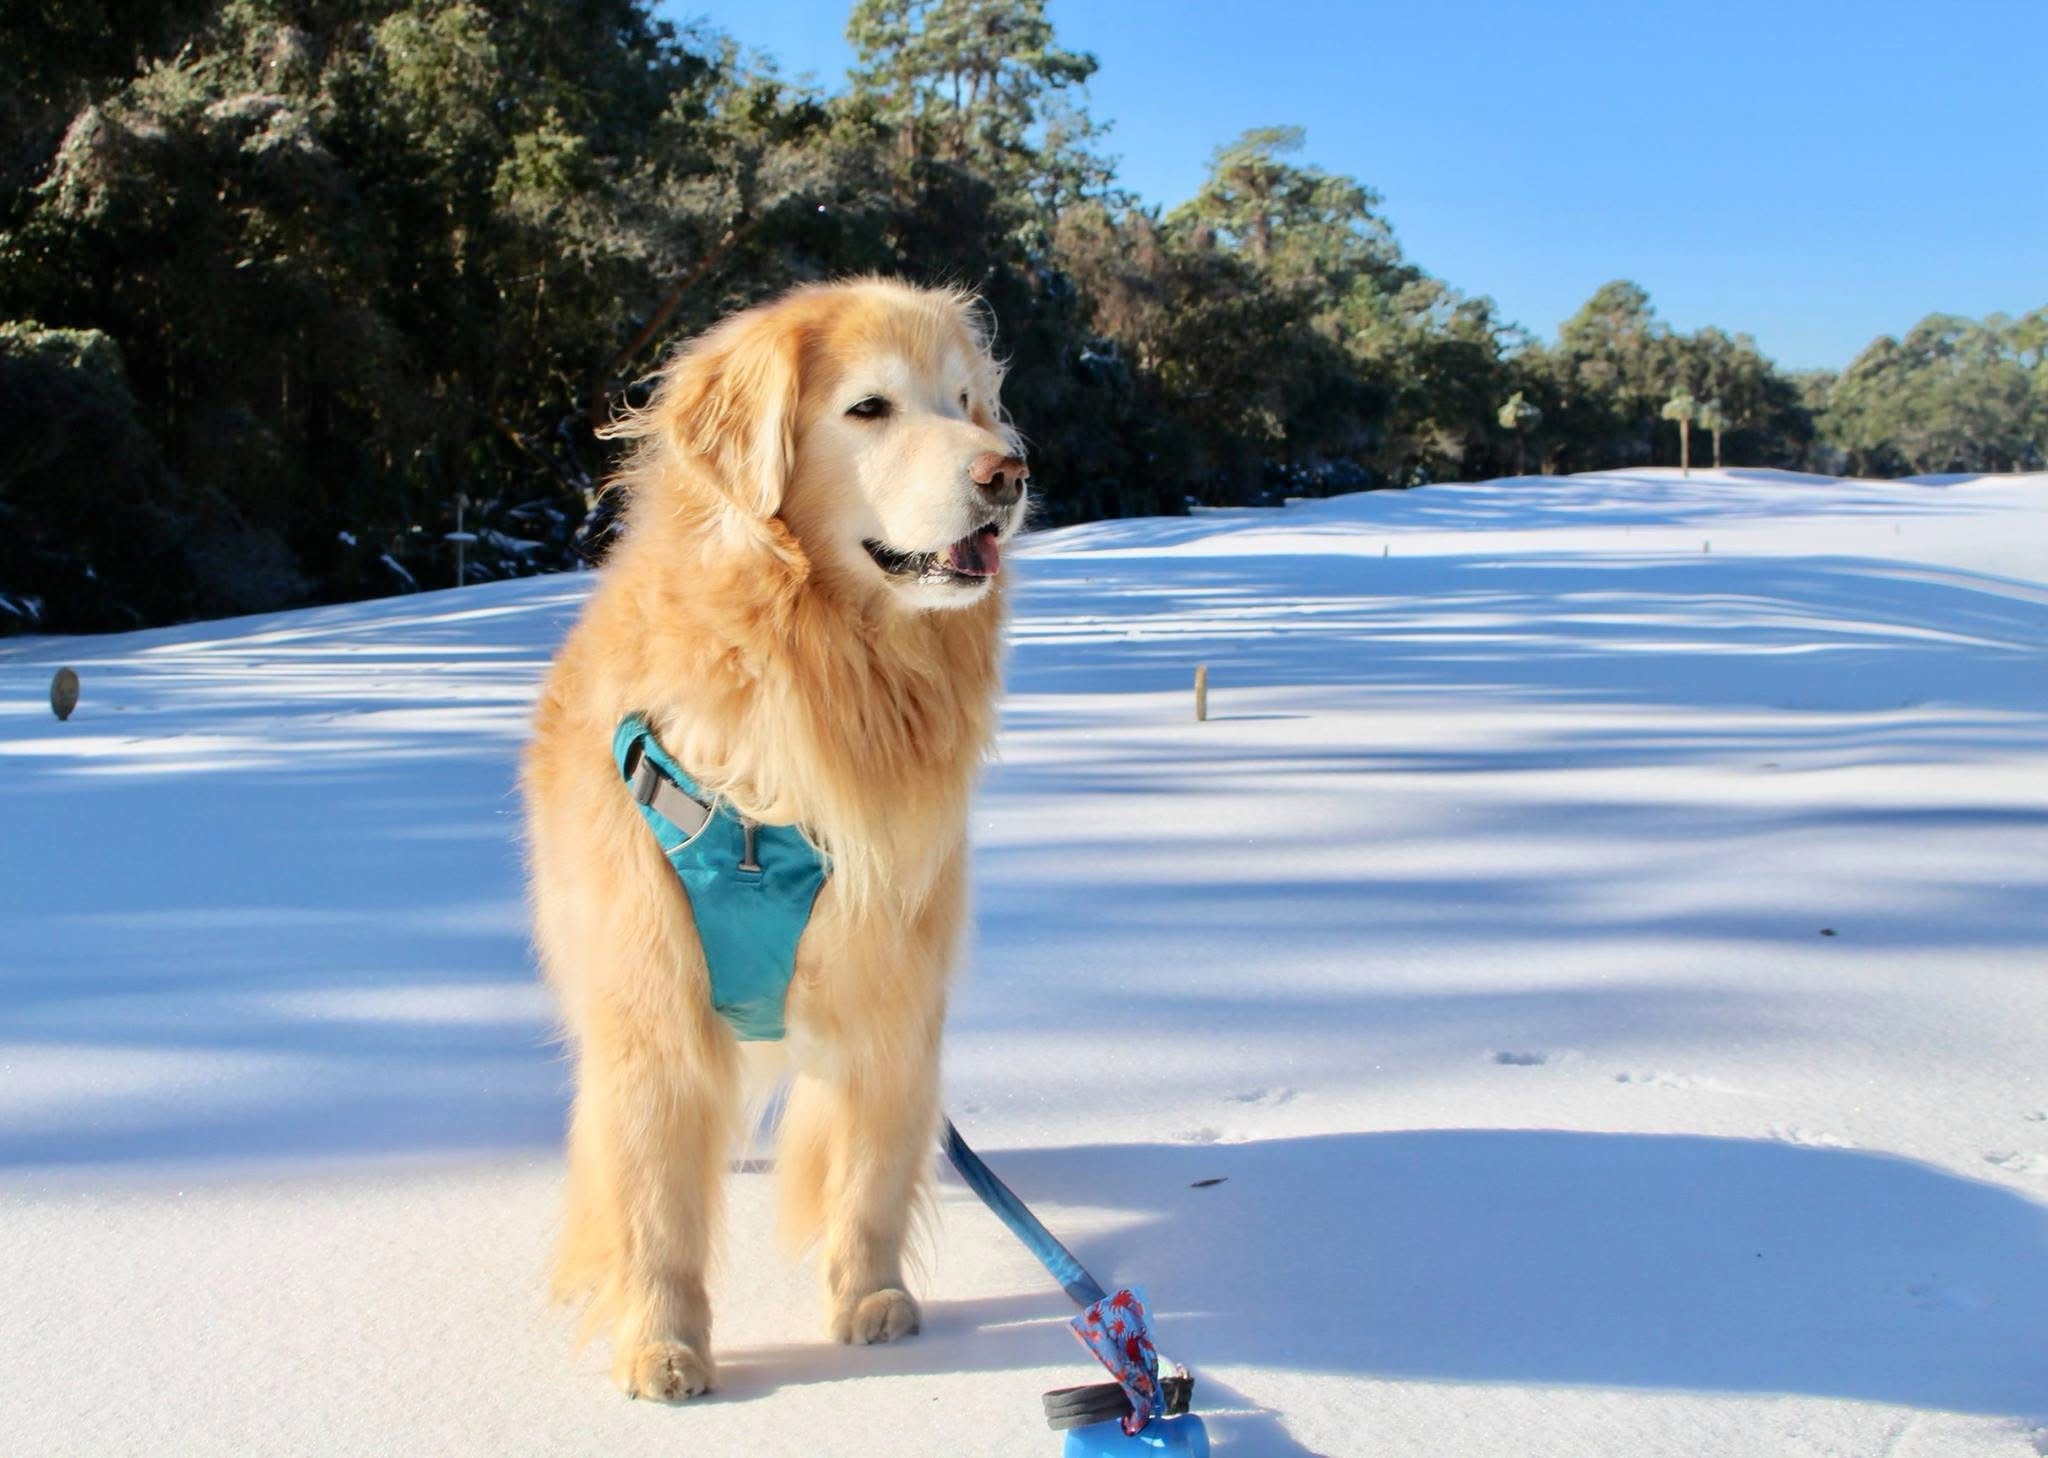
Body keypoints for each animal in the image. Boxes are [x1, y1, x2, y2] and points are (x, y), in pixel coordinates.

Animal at [512, 276, 1024, 1400]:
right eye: (869, 408)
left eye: (965, 402)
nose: (1007, 473)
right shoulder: (649, 1004)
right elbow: (654, 1204)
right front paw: (662, 1347)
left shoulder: (890, 991)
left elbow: (870, 1172)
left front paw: (871, 1300)